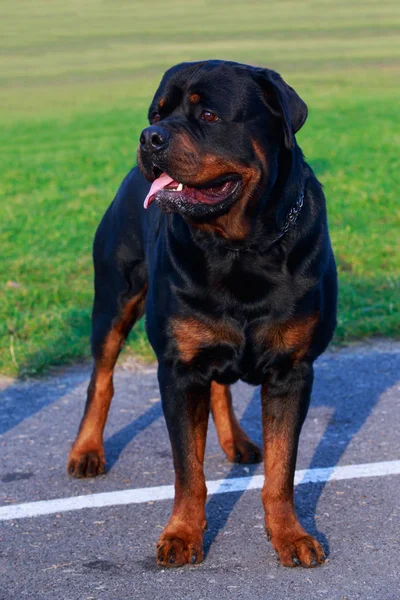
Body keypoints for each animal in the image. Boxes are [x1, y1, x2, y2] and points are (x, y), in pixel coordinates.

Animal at [67, 59, 336, 568]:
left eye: (208, 115)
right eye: (157, 112)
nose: (149, 136)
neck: (241, 250)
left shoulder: (293, 370)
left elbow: (282, 469)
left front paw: (290, 535)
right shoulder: (178, 368)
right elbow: (187, 470)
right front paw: (182, 535)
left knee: (220, 390)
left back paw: (238, 442)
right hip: (114, 298)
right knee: (101, 377)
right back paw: (87, 450)